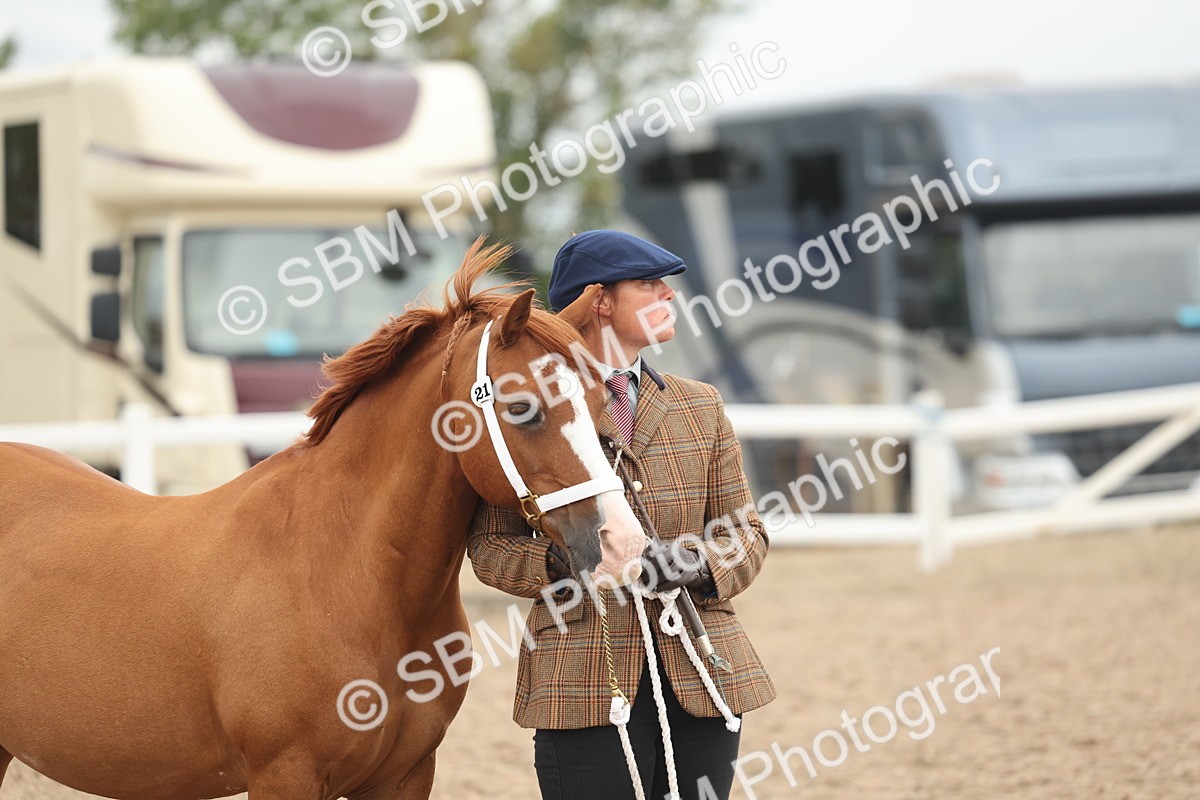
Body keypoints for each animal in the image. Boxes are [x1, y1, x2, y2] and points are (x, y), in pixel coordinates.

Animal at [0, 238, 646, 799]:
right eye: (522, 408)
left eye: (598, 400)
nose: (623, 545)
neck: (344, 571)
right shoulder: (285, 775)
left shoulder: (405, 776)